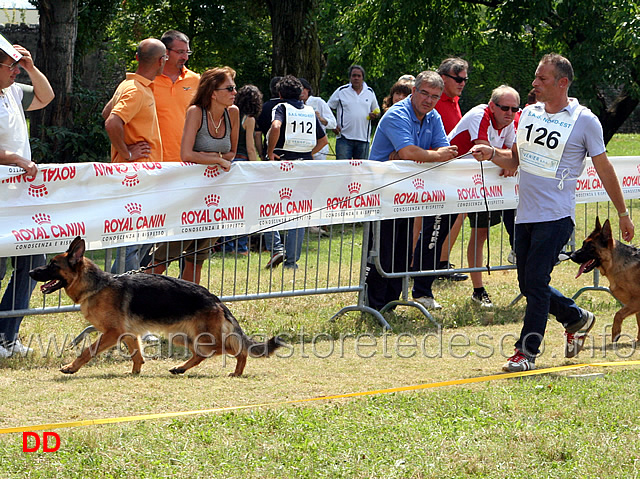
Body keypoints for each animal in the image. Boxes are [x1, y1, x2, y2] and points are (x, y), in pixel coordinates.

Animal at [28, 238, 282, 376]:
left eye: (53, 265)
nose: (31, 272)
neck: (97, 286)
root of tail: (215, 299)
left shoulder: (113, 333)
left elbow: (87, 350)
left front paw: (71, 367)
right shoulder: (128, 334)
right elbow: (137, 354)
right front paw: (135, 372)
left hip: (204, 337)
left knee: (232, 350)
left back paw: (237, 371)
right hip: (181, 336)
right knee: (203, 353)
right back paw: (181, 368)